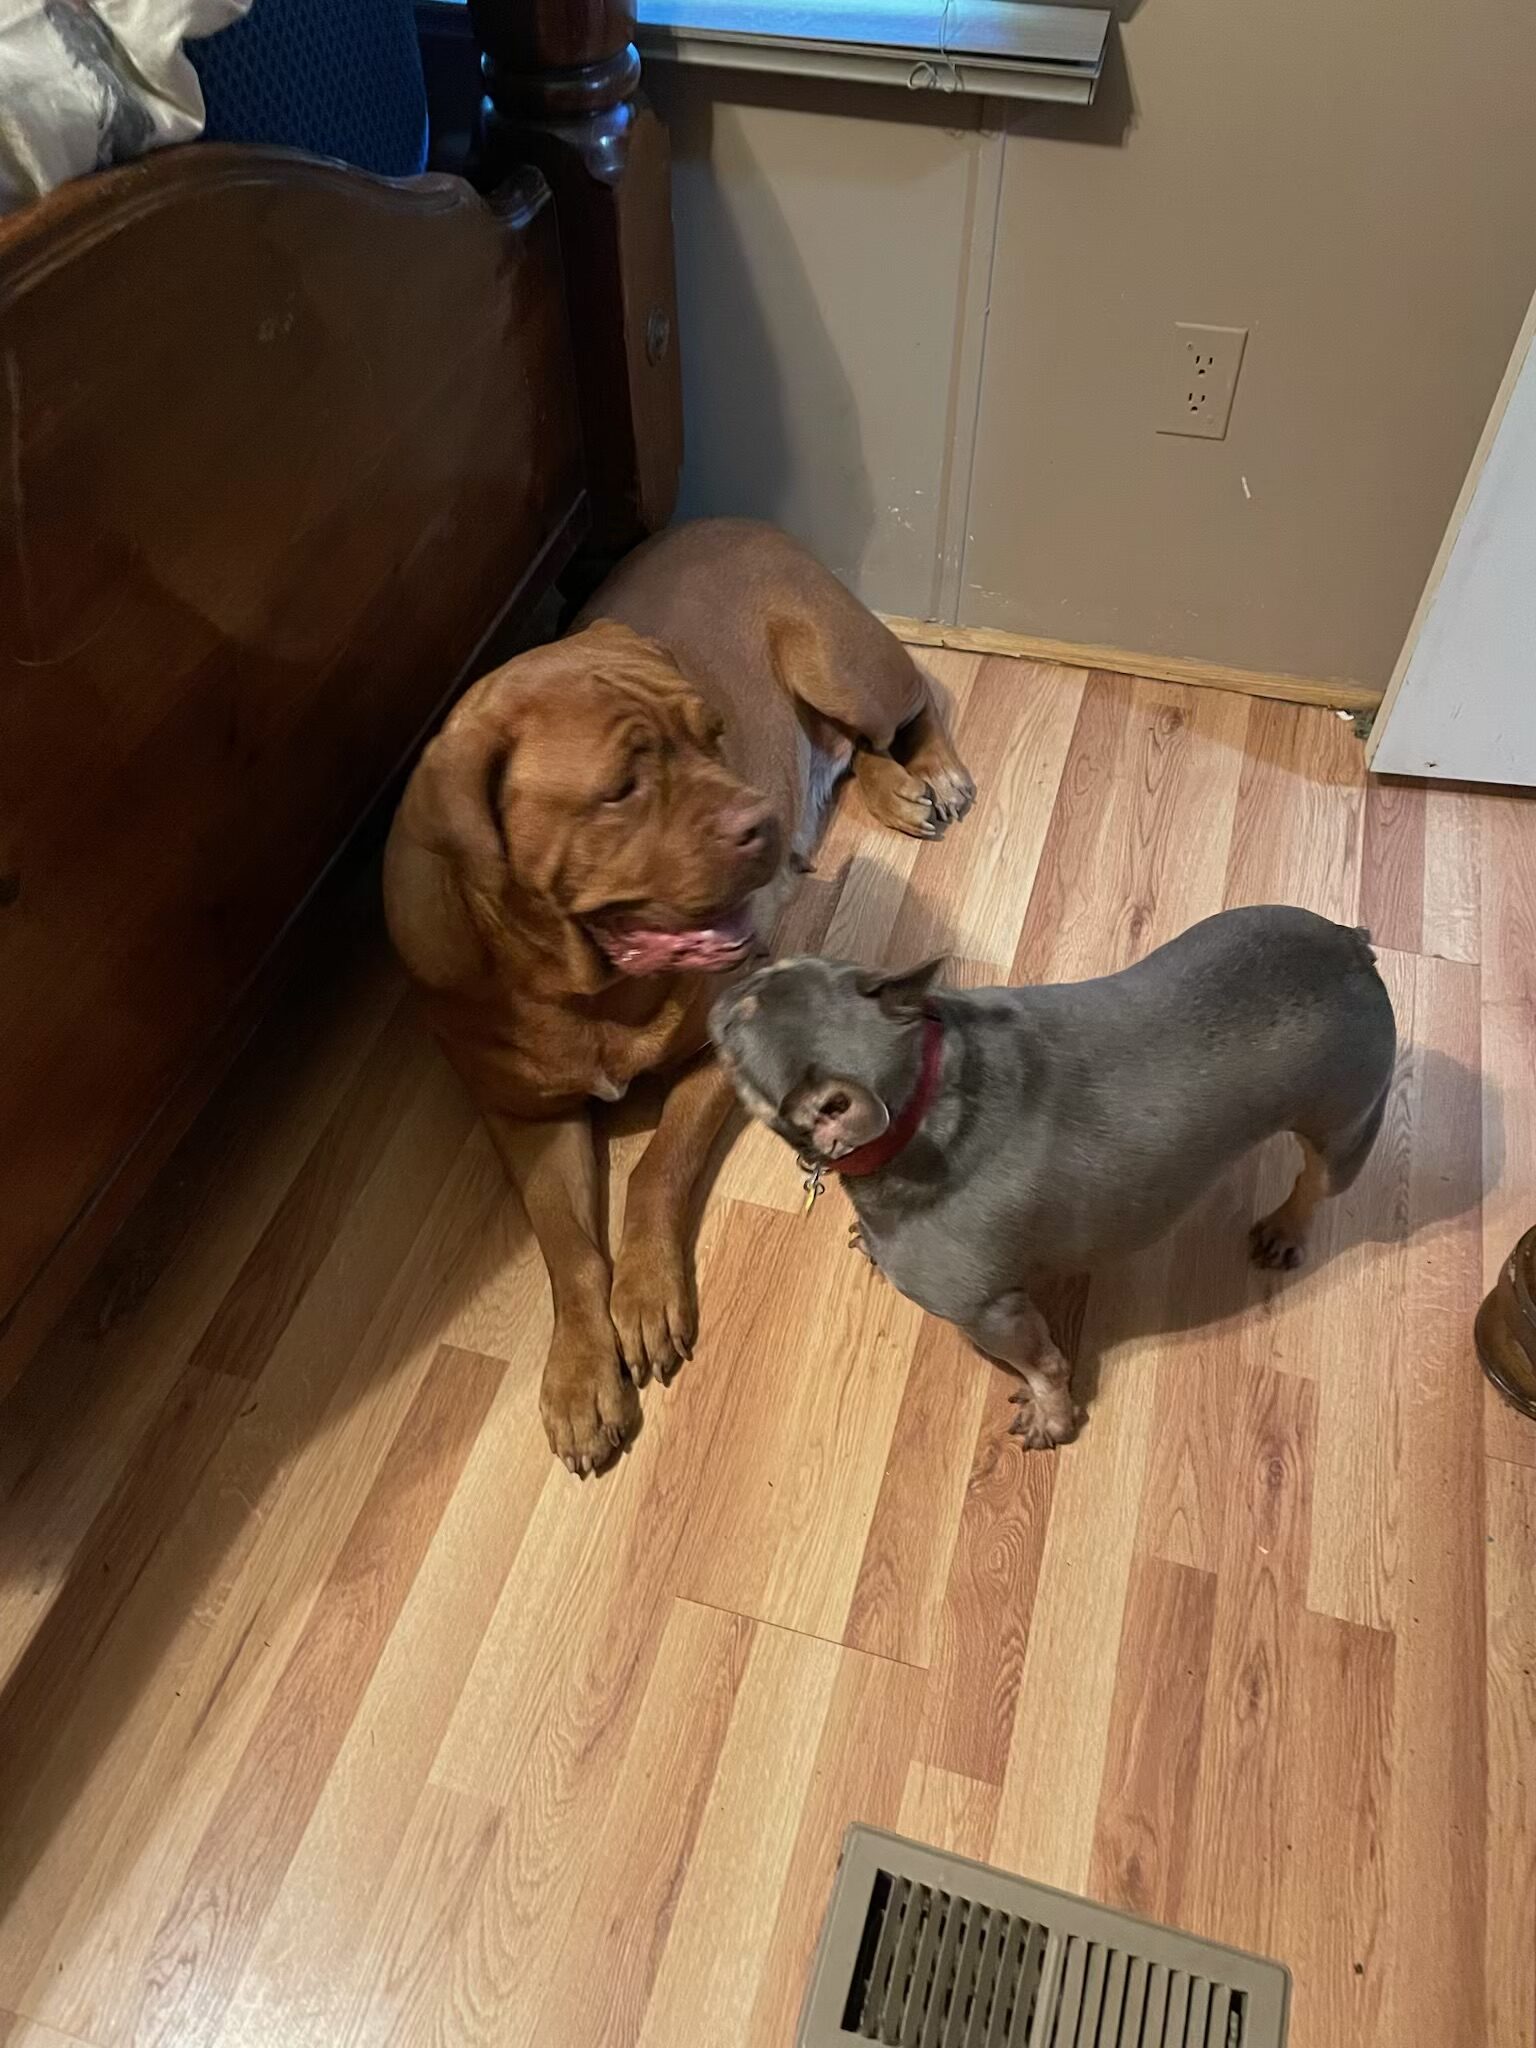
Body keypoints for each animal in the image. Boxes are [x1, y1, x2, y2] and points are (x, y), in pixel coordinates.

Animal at [384, 519, 974, 1472]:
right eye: (621, 788)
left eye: (714, 737)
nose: (762, 821)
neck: (581, 985)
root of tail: (737, 521)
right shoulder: (524, 1118)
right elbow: (565, 1245)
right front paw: (581, 1371)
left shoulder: (714, 1062)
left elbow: (658, 1165)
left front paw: (646, 1296)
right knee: (850, 749)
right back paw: (892, 785)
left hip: (843, 665)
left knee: (908, 706)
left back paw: (932, 772)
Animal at [711, 907, 1397, 1448]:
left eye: (736, 1023)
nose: (729, 982)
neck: (919, 1097)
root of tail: (1352, 947)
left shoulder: (993, 1313)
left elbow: (1043, 1364)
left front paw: (1054, 1419)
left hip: (1346, 1126)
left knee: (1315, 1182)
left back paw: (1286, 1227)